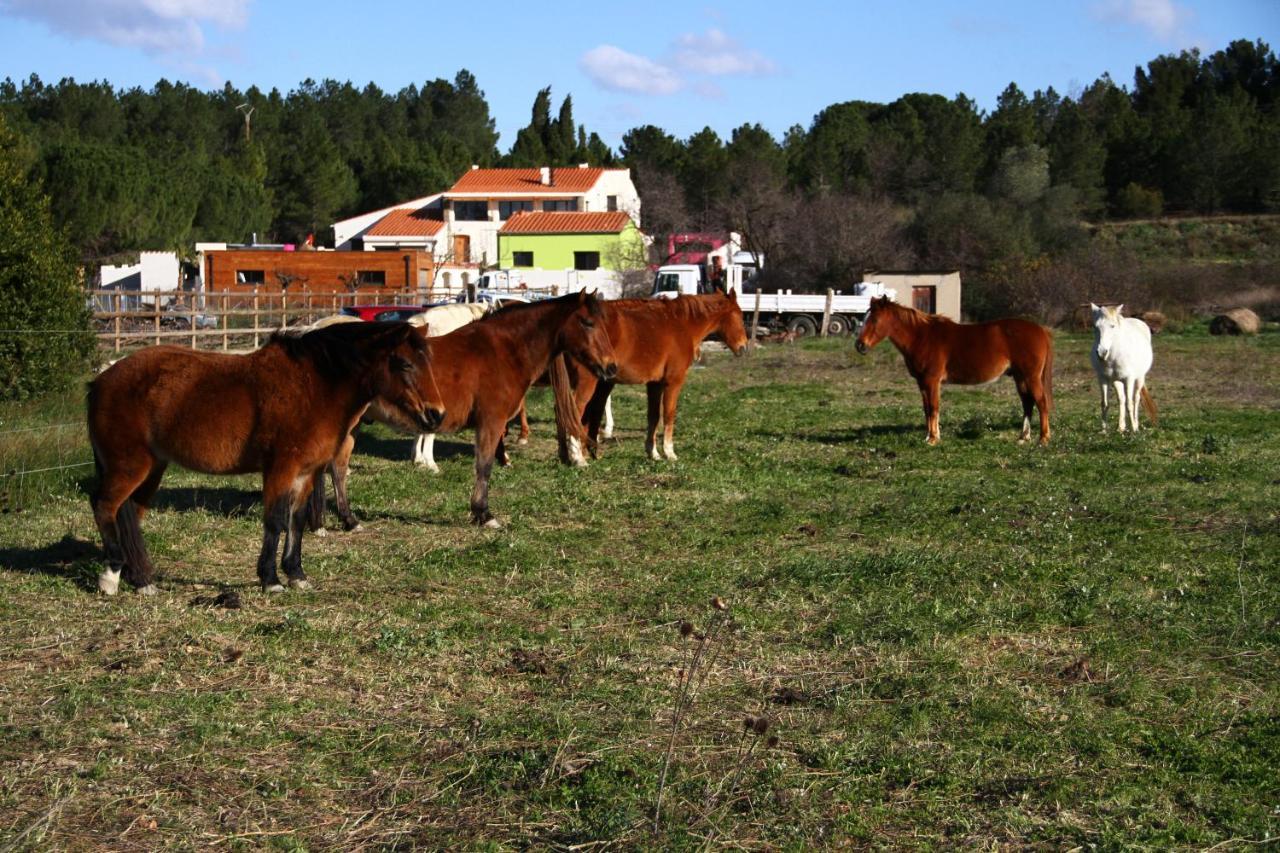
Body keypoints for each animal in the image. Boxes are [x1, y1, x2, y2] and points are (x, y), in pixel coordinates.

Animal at [87, 318, 442, 591]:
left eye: (428, 363)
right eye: (406, 364)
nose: (436, 414)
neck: (313, 386)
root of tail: (100, 381)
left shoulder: (305, 473)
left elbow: (296, 521)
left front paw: (296, 574)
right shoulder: (280, 469)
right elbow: (274, 521)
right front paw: (270, 579)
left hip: (151, 470)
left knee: (128, 513)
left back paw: (140, 580)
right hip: (130, 467)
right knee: (104, 506)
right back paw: (110, 576)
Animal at [312, 289, 616, 527]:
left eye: (603, 323)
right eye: (588, 322)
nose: (611, 367)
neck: (504, 350)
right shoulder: (491, 423)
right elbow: (484, 466)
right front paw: (483, 514)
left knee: (337, 466)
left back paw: (346, 519)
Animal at [552, 286, 747, 461]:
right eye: (740, 315)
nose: (744, 348)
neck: (682, 324)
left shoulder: (655, 384)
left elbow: (653, 416)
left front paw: (653, 453)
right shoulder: (673, 381)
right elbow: (669, 414)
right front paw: (669, 452)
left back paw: (567, 454)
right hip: (587, 382)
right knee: (574, 410)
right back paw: (577, 456)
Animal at [855, 295, 1054, 445]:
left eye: (875, 319)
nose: (859, 345)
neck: (921, 336)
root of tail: (1041, 330)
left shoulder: (932, 381)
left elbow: (933, 407)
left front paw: (933, 439)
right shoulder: (922, 382)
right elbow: (926, 409)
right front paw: (930, 436)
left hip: (1031, 377)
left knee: (1041, 403)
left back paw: (1043, 439)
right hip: (1020, 378)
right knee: (1027, 404)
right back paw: (1023, 437)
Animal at [1090, 300, 1162, 432]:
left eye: (1112, 326)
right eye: (1095, 327)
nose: (1102, 352)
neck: (1114, 356)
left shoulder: (1129, 379)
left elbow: (1130, 403)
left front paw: (1134, 429)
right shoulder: (1103, 379)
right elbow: (1105, 403)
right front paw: (1104, 430)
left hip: (1139, 378)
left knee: (1136, 399)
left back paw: (1135, 425)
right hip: (1116, 381)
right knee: (1121, 399)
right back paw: (1121, 427)